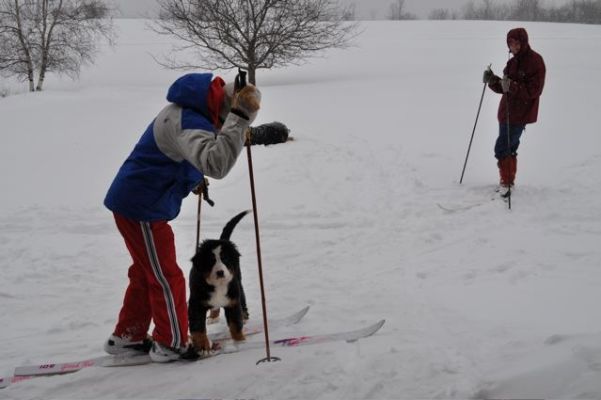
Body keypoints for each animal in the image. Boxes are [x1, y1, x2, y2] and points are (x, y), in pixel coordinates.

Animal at [190, 211, 251, 352]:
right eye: (210, 261)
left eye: (225, 259)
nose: (220, 272)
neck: (218, 285)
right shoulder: (196, 303)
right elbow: (198, 328)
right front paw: (203, 346)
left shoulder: (233, 301)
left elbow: (235, 324)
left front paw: (240, 342)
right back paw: (213, 317)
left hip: (238, 283)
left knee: (243, 299)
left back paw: (244, 316)